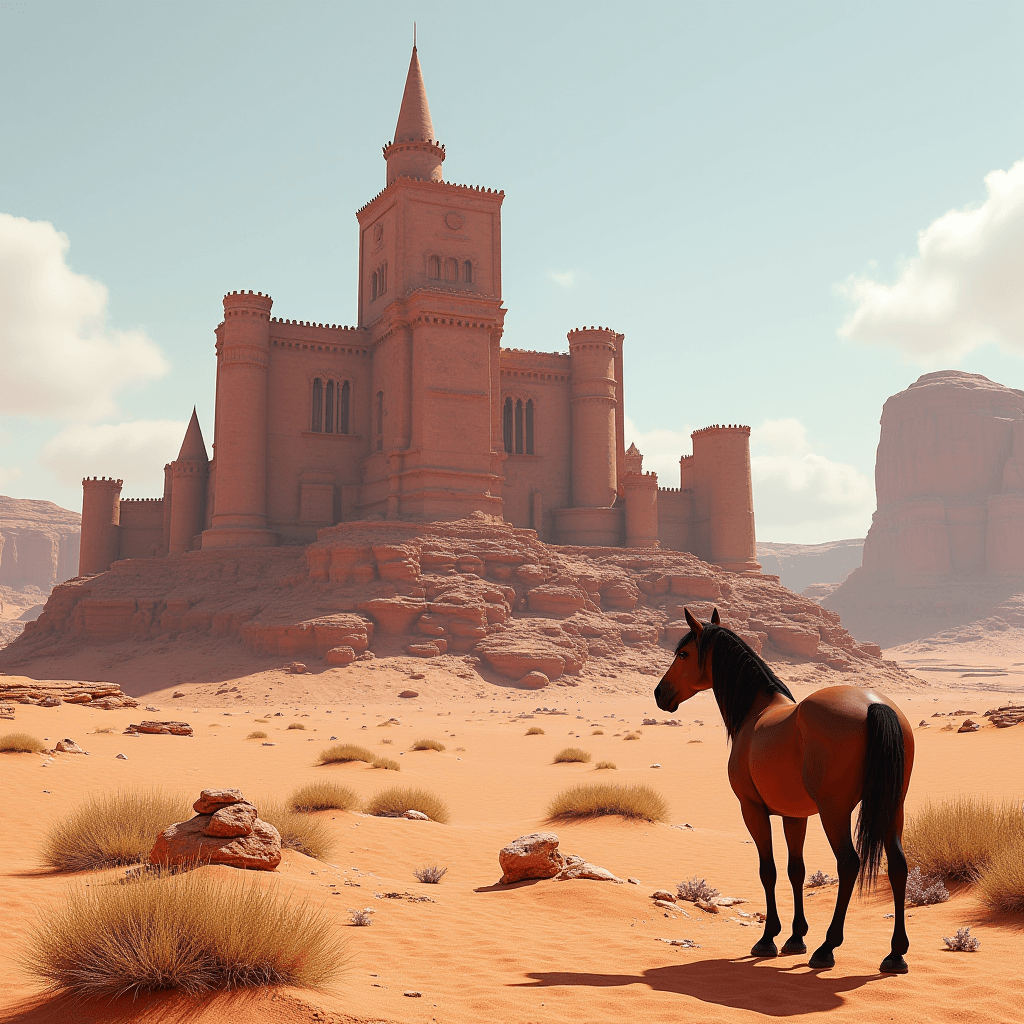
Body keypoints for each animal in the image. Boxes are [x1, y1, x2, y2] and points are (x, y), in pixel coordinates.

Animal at [655, 606, 913, 974]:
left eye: (683, 654)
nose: (660, 693)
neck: (756, 712)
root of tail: (874, 705)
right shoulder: (795, 816)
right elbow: (796, 870)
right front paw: (795, 937)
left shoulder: (752, 809)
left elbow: (769, 870)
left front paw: (768, 938)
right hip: (893, 807)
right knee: (898, 866)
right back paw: (895, 954)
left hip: (835, 811)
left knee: (849, 863)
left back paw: (827, 948)